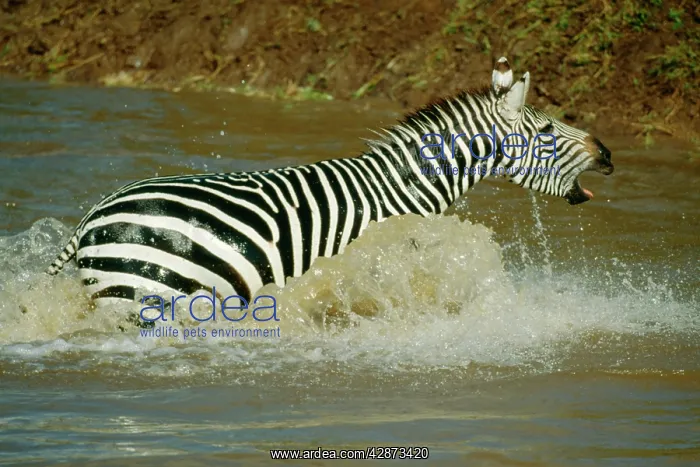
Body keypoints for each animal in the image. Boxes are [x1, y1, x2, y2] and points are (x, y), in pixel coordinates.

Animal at [46, 56, 613, 312]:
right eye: (546, 132)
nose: (608, 154)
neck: (401, 189)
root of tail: (93, 215)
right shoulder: (383, 263)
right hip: (139, 292)